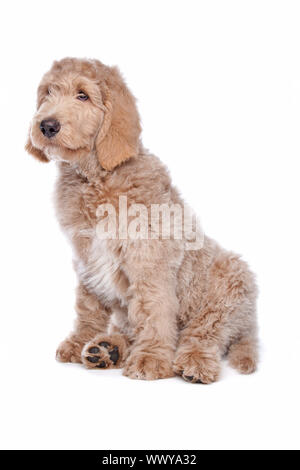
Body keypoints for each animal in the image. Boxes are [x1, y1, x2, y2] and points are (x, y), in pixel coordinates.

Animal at [25, 57, 258, 382]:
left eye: (82, 95)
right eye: (48, 92)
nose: (46, 125)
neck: (95, 178)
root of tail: (250, 323)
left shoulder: (149, 257)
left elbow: (152, 308)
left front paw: (151, 358)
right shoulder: (86, 256)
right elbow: (87, 304)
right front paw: (81, 339)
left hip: (230, 280)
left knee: (204, 332)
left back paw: (194, 361)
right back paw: (107, 349)